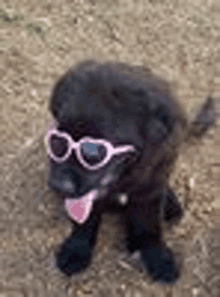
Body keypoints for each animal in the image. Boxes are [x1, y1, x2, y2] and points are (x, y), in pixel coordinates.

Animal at [45, 59, 216, 282]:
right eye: (57, 141)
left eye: (93, 150)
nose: (57, 185)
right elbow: (84, 221)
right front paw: (76, 250)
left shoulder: (150, 188)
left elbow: (149, 224)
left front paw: (157, 257)